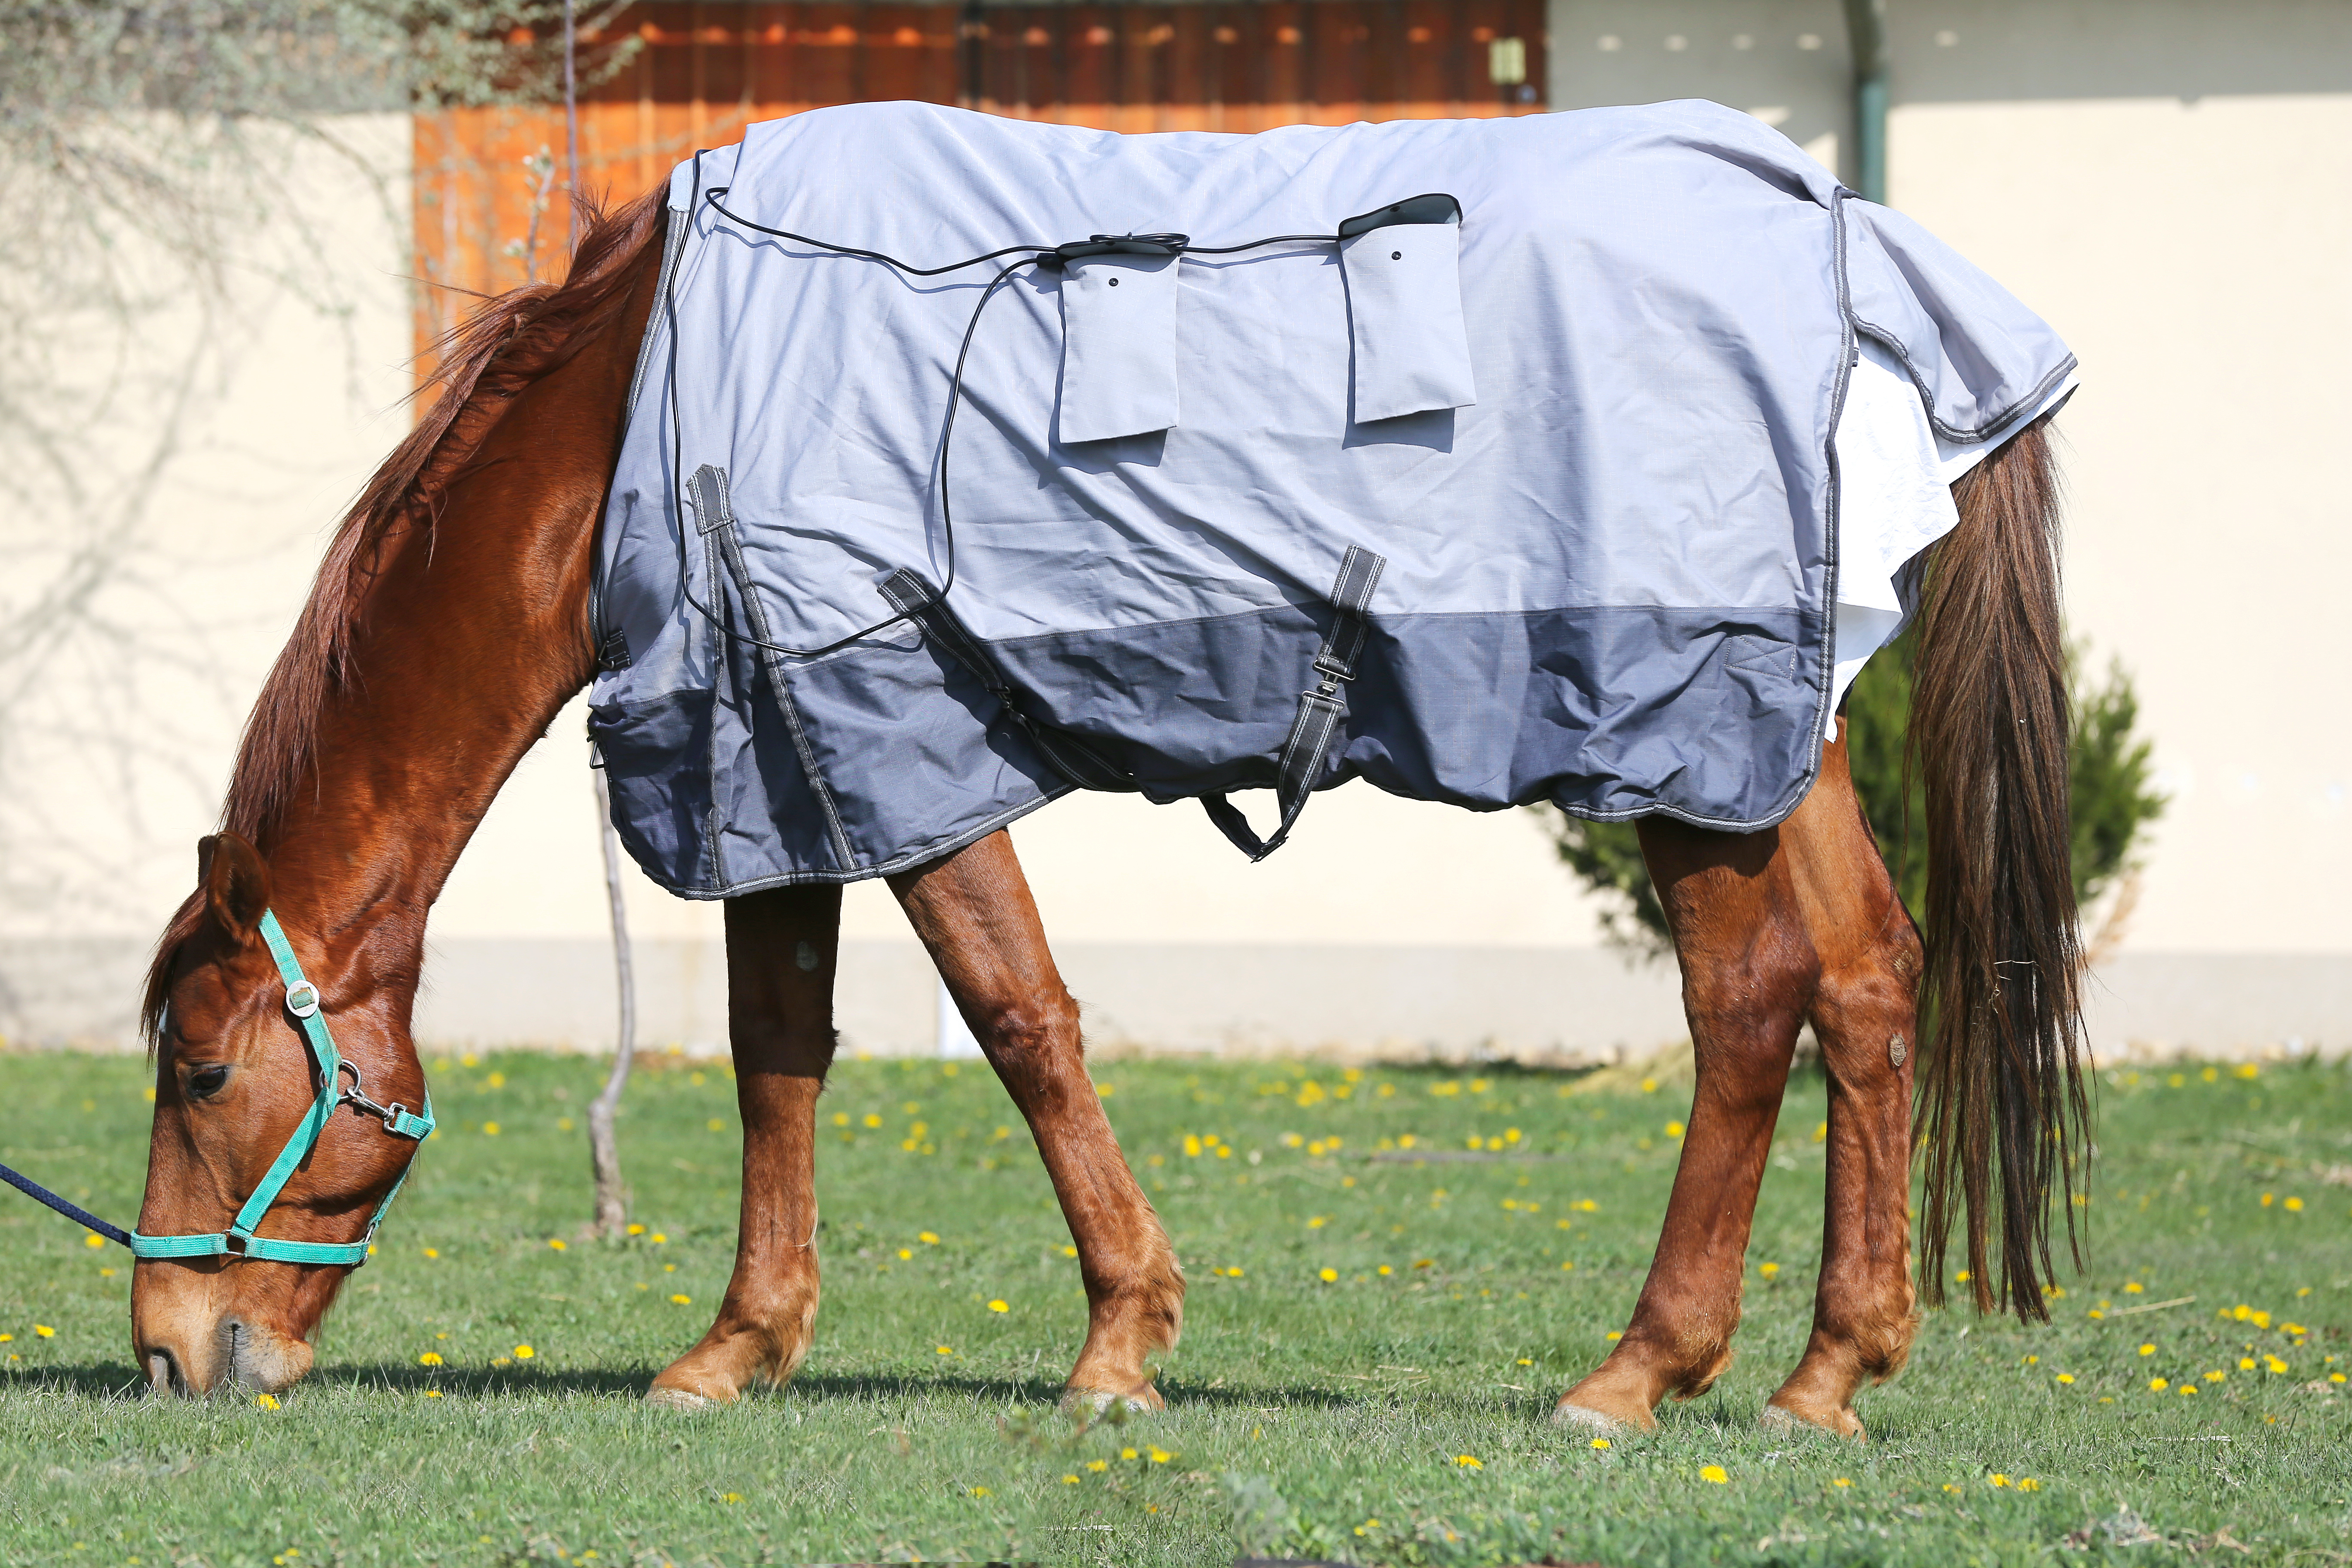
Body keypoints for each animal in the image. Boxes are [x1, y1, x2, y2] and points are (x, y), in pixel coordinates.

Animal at [133, 190, 2079, 1439]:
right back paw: (1825, 1374)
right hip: (1781, 740)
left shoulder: (892, 746)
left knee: (1748, 1005)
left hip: (1679, 741)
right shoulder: (781, 754)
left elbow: (1021, 1027)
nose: (165, 1348)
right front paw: (737, 1347)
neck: (664, 392)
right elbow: (780, 1051)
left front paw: (1118, 1346)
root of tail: (1854, 252)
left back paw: (1638, 1370)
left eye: (205, 1070)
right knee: (1870, 978)